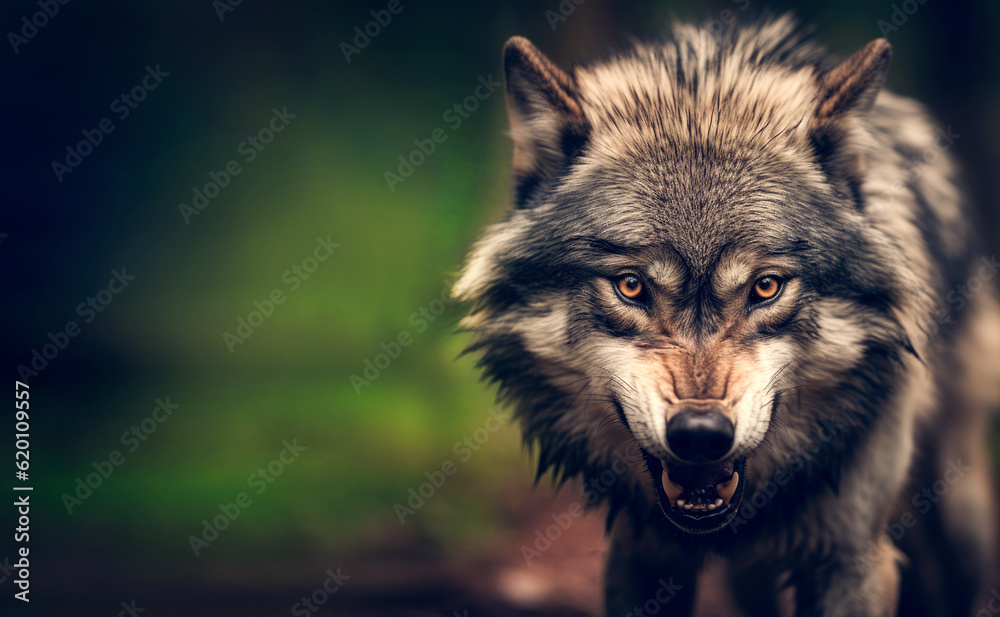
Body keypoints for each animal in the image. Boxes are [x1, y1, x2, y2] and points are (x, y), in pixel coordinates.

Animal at [454, 14, 1000, 617]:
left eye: (766, 286)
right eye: (631, 286)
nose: (699, 435)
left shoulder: (850, 557)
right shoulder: (640, 553)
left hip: (958, 509)